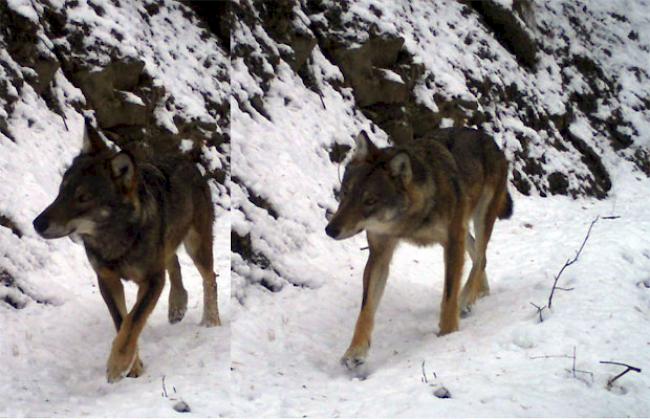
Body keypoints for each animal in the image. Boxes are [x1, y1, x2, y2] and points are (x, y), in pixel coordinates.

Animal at [32, 119, 220, 384]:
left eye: (83, 198)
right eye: (62, 191)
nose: (37, 223)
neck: (115, 241)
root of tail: (184, 158)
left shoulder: (152, 280)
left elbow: (133, 321)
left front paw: (118, 364)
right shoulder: (107, 280)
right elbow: (122, 321)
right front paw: (134, 366)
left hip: (197, 246)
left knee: (209, 277)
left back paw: (211, 321)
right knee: (173, 261)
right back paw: (177, 305)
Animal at [326, 129, 508, 370]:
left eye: (370, 201)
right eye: (346, 193)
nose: (330, 230)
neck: (410, 220)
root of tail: (490, 139)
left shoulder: (452, 242)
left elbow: (448, 296)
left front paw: (448, 334)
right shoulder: (379, 255)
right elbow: (365, 309)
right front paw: (355, 351)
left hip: (480, 219)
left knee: (480, 258)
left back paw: (466, 300)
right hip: (463, 231)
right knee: (479, 255)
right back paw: (480, 293)